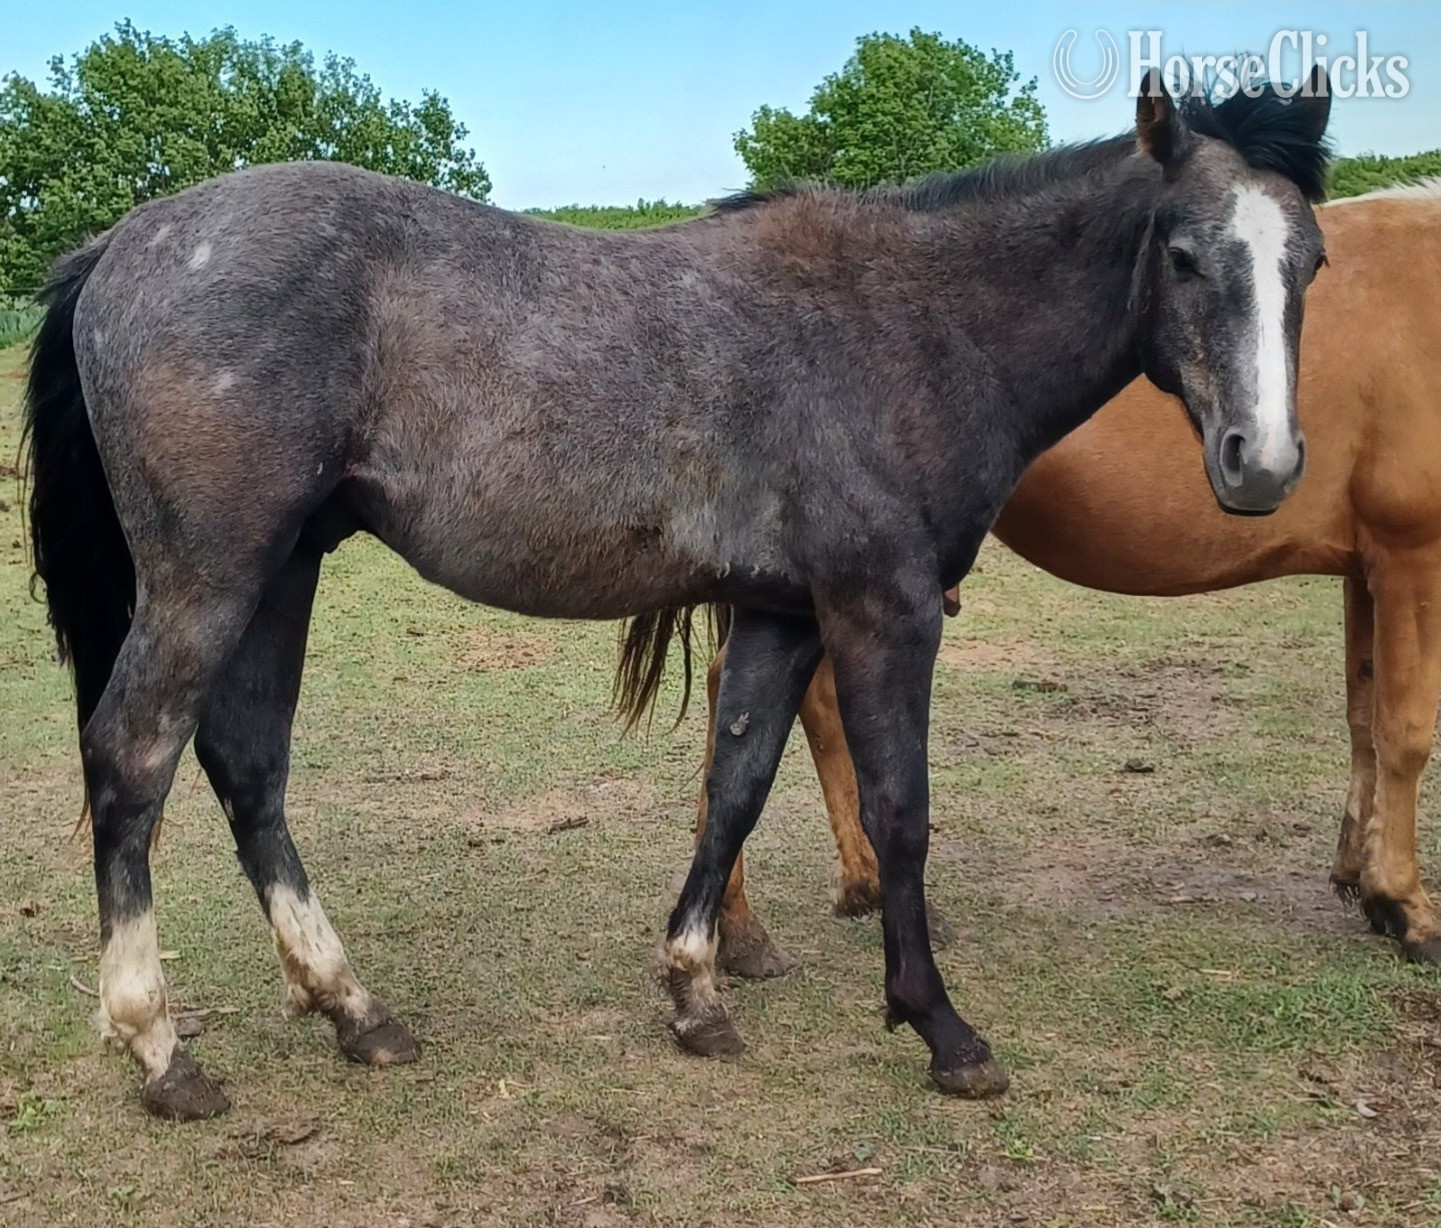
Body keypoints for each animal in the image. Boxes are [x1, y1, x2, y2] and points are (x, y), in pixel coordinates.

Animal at [23, 73, 1329, 1119]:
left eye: (1307, 262)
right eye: (1182, 255)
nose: (1261, 463)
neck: (911, 321)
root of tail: (122, 245)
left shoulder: (782, 612)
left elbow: (735, 783)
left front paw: (696, 990)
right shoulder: (883, 608)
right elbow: (899, 812)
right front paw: (940, 1028)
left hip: (280, 570)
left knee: (247, 768)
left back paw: (353, 1009)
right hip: (209, 577)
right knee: (134, 759)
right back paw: (159, 1049)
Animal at [695, 179, 1441, 981]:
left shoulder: (1366, 568)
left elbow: (1363, 719)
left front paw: (1358, 875)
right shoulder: (1413, 558)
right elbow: (1405, 731)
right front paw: (1407, 906)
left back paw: (836, 897)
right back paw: (740, 929)